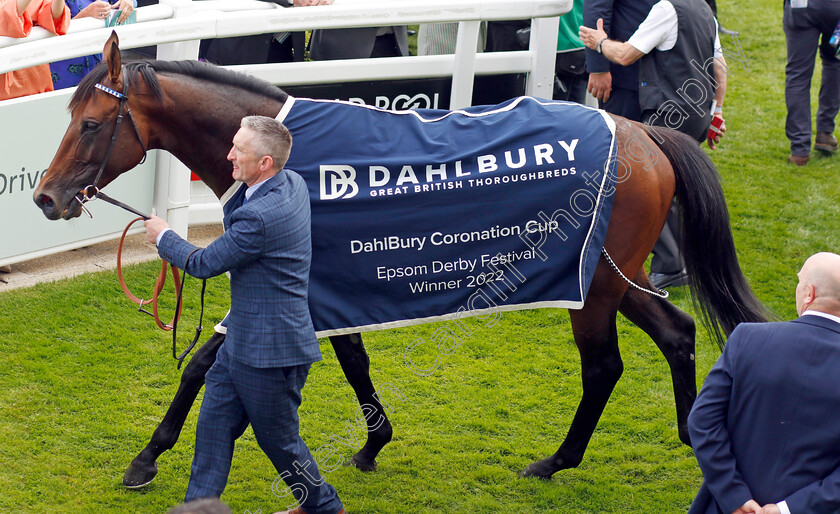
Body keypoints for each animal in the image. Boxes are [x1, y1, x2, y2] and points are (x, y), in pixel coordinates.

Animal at [34, 34, 768, 486]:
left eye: (91, 124)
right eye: (66, 118)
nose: (45, 196)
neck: (291, 155)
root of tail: (643, 132)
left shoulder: (288, 279)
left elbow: (202, 365)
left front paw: (146, 457)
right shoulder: (325, 289)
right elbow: (353, 359)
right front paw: (373, 443)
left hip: (592, 291)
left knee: (604, 367)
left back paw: (557, 461)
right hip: (616, 276)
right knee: (677, 332)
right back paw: (692, 436)